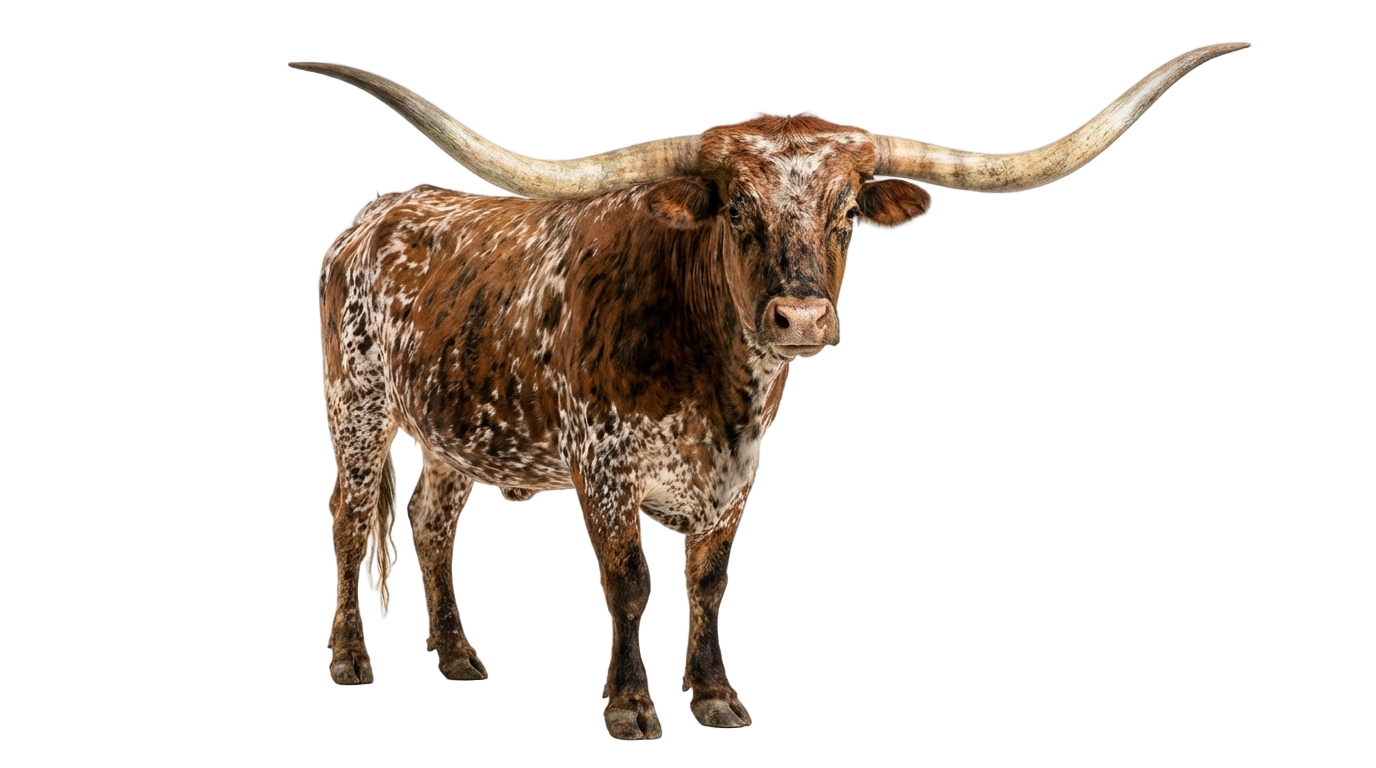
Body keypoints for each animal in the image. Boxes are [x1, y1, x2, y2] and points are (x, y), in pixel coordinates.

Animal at [290, 41, 1247, 739]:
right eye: (737, 208)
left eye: (846, 212)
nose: (801, 317)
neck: (712, 381)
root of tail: (373, 219)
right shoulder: (603, 468)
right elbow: (629, 584)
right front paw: (628, 708)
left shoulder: (732, 479)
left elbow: (711, 581)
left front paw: (715, 698)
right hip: (358, 406)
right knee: (348, 521)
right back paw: (347, 660)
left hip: (449, 432)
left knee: (430, 529)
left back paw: (456, 655)